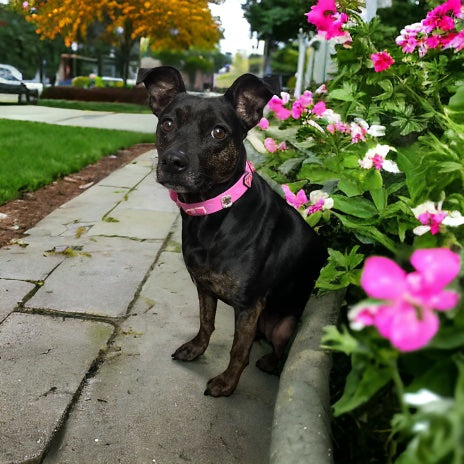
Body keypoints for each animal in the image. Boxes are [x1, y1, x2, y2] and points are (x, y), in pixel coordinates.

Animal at [138, 65, 326, 396]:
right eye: (167, 123)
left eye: (218, 132)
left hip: (285, 325)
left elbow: (239, 350)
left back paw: (268, 363)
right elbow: (206, 323)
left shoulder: (249, 306)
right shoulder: (204, 287)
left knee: (275, 349)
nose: (172, 161)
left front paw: (226, 383)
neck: (212, 213)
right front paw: (196, 349)